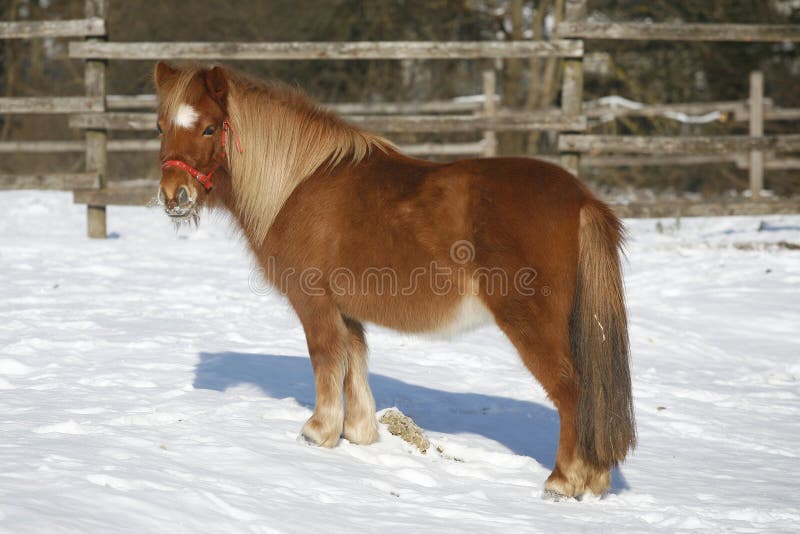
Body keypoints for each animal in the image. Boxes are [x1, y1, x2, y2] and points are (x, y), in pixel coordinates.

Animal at [153, 62, 636, 502]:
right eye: (161, 126)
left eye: (210, 128)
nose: (174, 197)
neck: (297, 186)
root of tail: (581, 198)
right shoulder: (347, 309)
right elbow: (354, 361)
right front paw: (358, 432)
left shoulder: (314, 301)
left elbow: (326, 358)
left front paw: (318, 432)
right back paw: (594, 482)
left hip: (532, 324)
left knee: (573, 392)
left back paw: (563, 482)